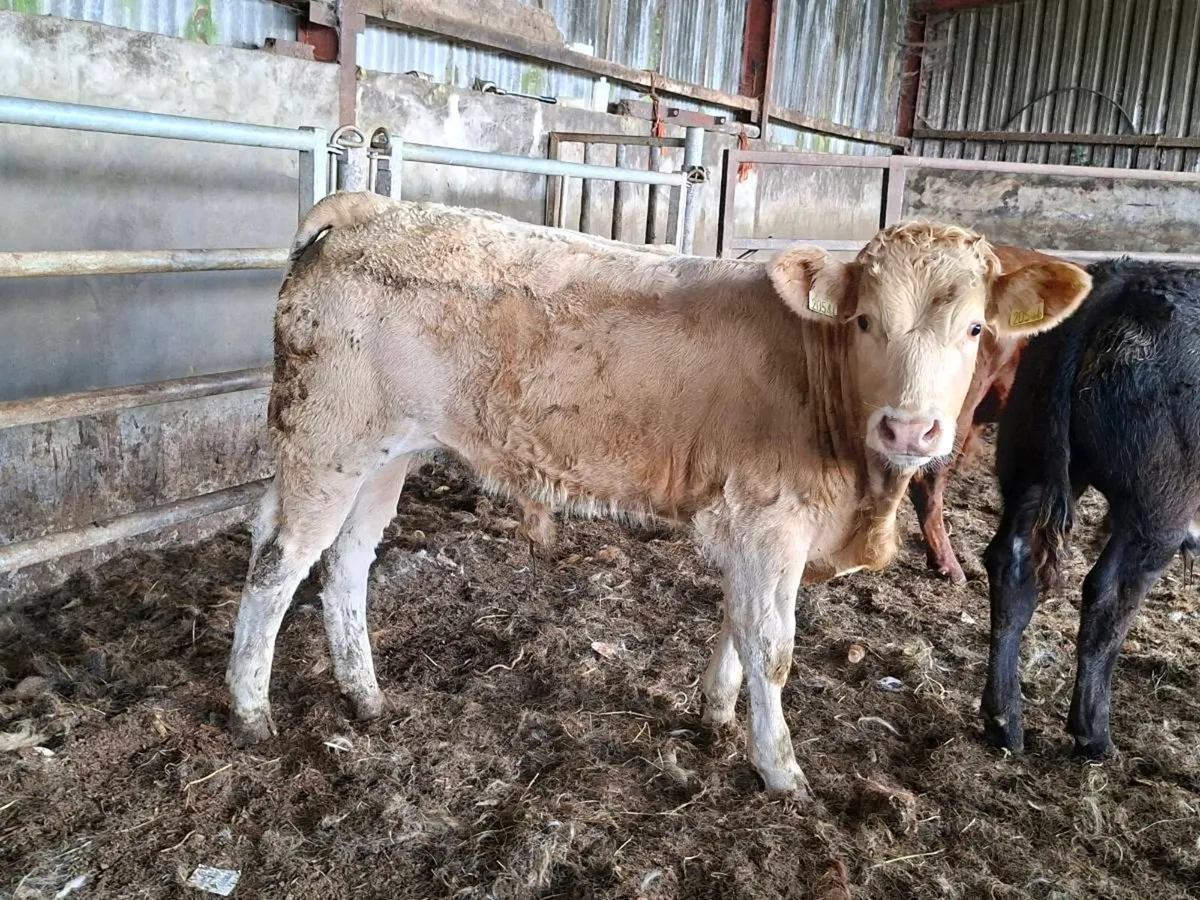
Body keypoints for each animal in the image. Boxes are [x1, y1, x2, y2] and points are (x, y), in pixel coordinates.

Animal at [224, 192, 1090, 796]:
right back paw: (250, 711)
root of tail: (373, 208)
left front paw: (714, 714)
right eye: (867, 321)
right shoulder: (768, 521)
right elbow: (772, 647)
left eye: (975, 329)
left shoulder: (753, 526)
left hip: (383, 454)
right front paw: (781, 771)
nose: (911, 429)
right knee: (278, 563)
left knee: (347, 564)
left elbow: (736, 623)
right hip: (326, 437)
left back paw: (365, 697)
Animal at [982, 258, 1200, 758]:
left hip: (1030, 463)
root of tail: (1121, 284)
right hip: (1158, 509)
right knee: (1109, 595)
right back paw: (1094, 734)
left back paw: (1004, 722)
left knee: (1011, 565)